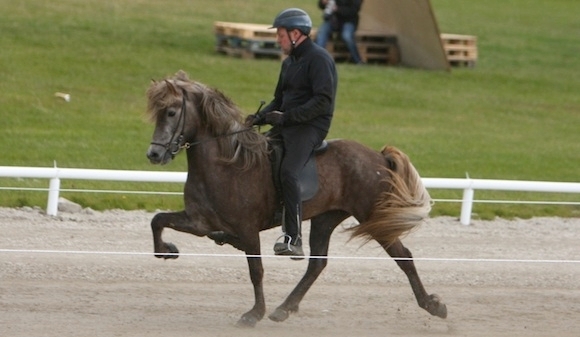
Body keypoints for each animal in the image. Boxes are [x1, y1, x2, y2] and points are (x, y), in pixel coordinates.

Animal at [145, 70, 448, 326]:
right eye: (157, 114)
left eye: (171, 112)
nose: (154, 154)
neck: (225, 163)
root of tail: (378, 156)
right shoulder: (199, 221)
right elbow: (157, 220)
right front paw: (167, 250)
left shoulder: (247, 228)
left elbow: (256, 269)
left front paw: (254, 313)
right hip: (326, 218)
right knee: (317, 264)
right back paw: (284, 308)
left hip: (371, 216)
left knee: (403, 257)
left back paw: (432, 305)